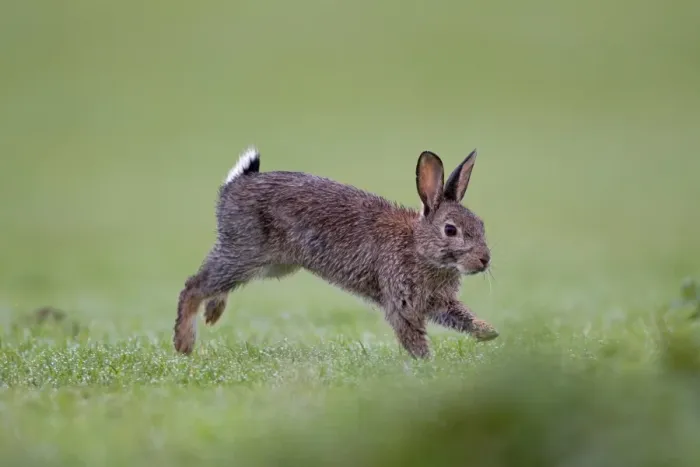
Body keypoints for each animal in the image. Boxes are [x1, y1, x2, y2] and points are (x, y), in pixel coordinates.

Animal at [174, 146, 499, 358]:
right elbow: (412, 334)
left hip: (269, 264)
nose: (484, 260)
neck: (418, 245)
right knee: (193, 286)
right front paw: (426, 363)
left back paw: (212, 313)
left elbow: (461, 317)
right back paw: (184, 344)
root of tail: (238, 182)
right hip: (245, 251)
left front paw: (488, 332)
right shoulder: (401, 301)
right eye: (450, 230)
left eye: (481, 224)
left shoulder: (437, 301)